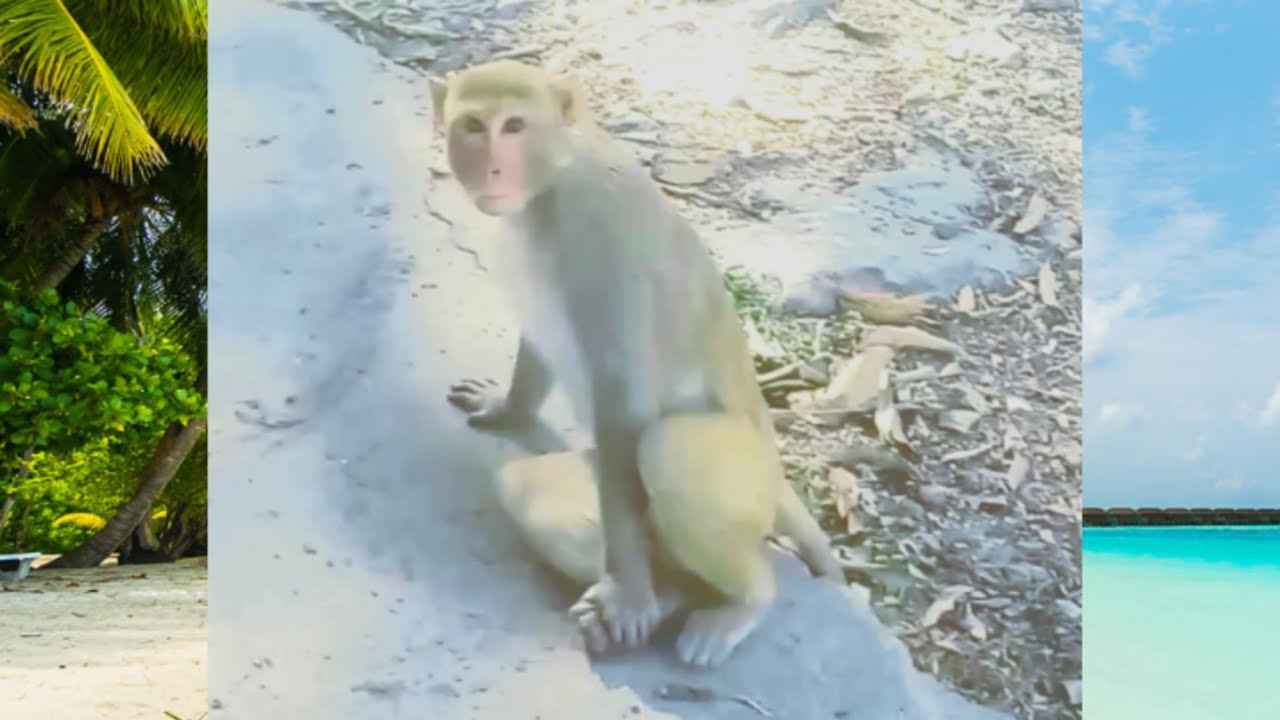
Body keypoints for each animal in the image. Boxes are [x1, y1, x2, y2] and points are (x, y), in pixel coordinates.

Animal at [432, 60, 843, 667]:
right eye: (473, 126)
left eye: (514, 126)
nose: (493, 167)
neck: (549, 186)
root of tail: (777, 469)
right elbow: (540, 338)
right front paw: (508, 407)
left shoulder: (601, 231)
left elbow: (623, 399)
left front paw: (628, 593)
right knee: (524, 487)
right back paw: (672, 591)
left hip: (747, 487)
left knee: (667, 449)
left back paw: (739, 602)